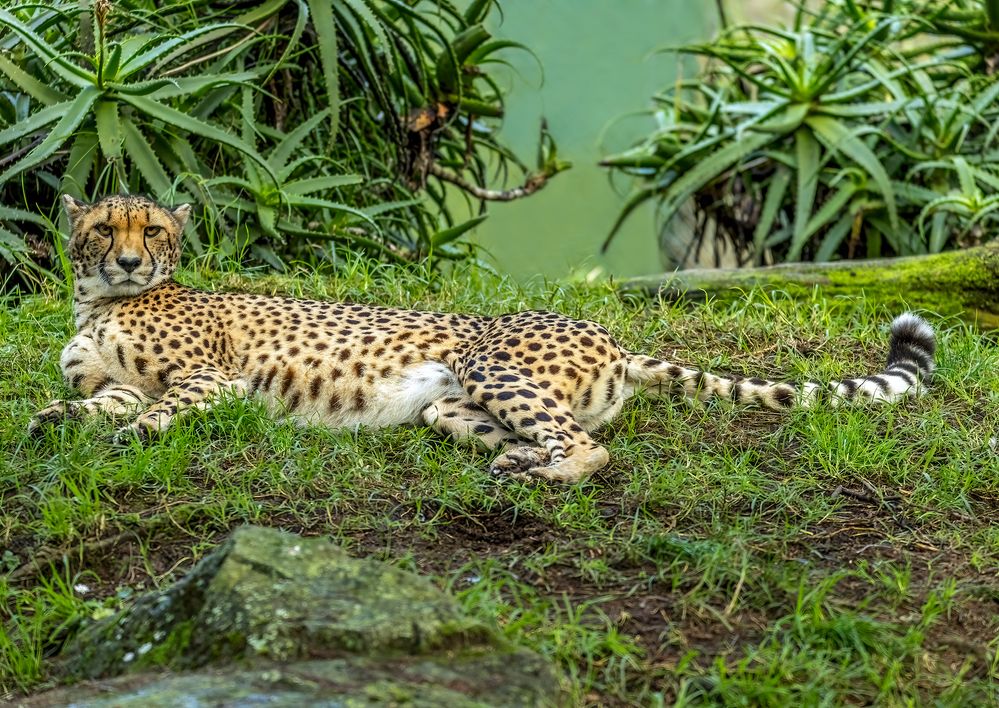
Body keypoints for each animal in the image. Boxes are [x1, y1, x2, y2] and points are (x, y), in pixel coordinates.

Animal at [29, 194, 936, 484]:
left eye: (151, 229)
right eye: (104, 227)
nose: (128, 260)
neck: (97, 302)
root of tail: (610, 337)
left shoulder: (212, 379)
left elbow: (159, 409)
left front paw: (137, 437)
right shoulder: (112, 381)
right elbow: (93, 404)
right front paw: (53, 421)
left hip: (489, 361)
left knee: (593, 449)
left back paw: (544, 475)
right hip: (448, 404)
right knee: (539, 432)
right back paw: (516, 462)